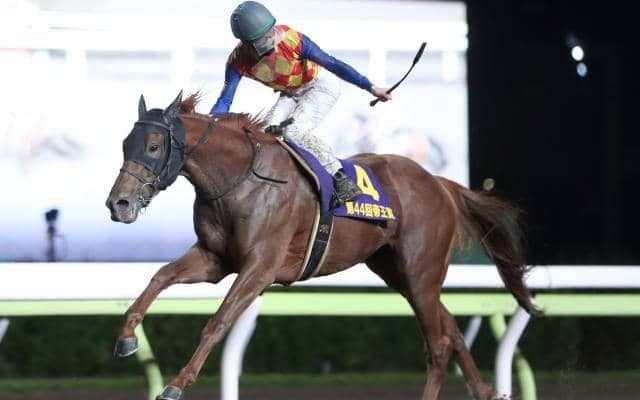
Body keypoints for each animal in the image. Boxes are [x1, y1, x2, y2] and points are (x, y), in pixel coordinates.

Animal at [106, 91, 538, 400]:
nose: (119, 203)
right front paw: (126, 338)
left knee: (439, 345)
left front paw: (176, 383)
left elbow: (219, 321)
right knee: (451, 330)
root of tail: (440, 184)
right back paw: (485, 391)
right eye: (125, 144)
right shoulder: (215, 260)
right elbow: (160, 277)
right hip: (399, 273)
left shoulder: (260, 266)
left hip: (421, 271)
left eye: (153, 147)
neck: (241, 178)